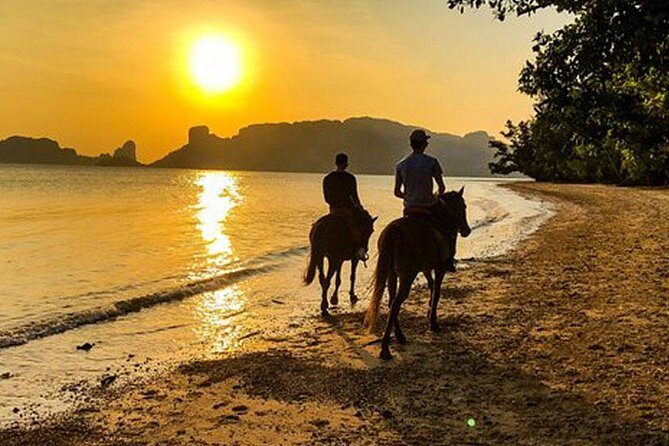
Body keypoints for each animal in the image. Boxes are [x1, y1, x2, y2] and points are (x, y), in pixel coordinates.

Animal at [364, 187, 471, 360]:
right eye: (463, 206)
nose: (466, 230)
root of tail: (393, 231)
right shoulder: (439, 268)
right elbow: (437, 292)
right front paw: (433, 323)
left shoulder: (426, 268)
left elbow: (432, 287)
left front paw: (429, 313)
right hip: (407, 275)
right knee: (395, 303)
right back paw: (385, 348)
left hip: (391, 274)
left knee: (392, 301)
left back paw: (399, 336)